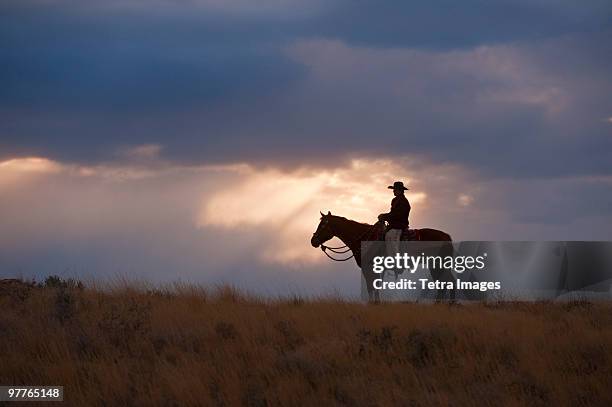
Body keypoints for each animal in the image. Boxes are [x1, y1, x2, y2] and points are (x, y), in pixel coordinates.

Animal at [310, 214, 454, 302]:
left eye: (323, 225)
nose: (313, 241)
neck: (363, 238)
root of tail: (447, 236)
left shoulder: (368, 267)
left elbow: (371, 286)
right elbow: (375, 286)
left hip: (436, 266)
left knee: (444, 283)